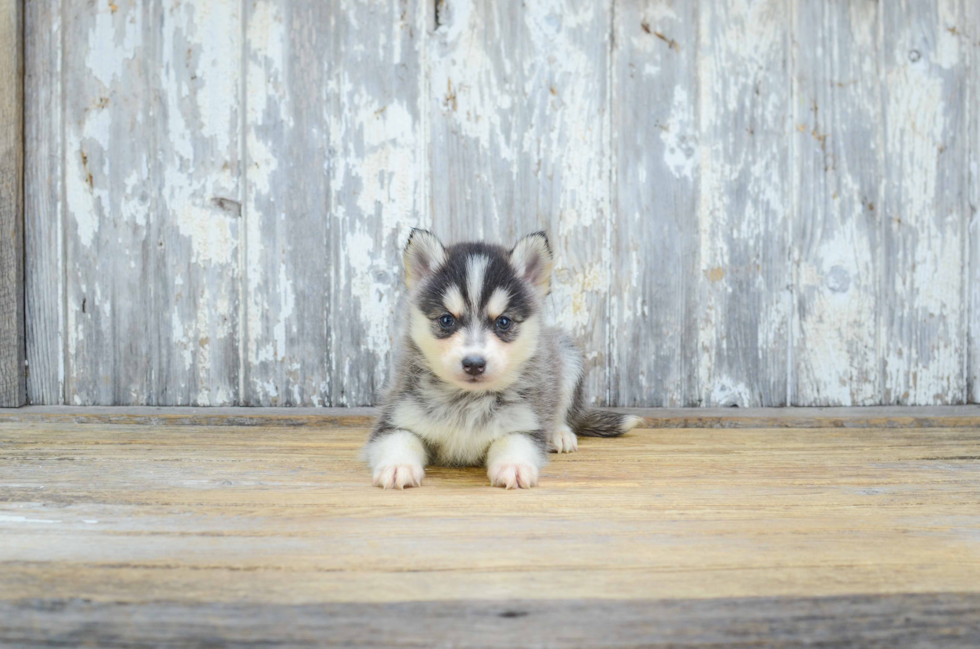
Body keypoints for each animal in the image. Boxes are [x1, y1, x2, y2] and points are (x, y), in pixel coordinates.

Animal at [364, 230, 640, 488]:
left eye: (503, 322)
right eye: (446, 320)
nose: (474, 363)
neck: (468, 401)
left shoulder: (525, 422)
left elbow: (514, 442)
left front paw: (513, 466)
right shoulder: (396, 417)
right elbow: (399, 440)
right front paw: (398, 466)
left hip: (567, 356)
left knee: (563, 411)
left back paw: (560, 434)